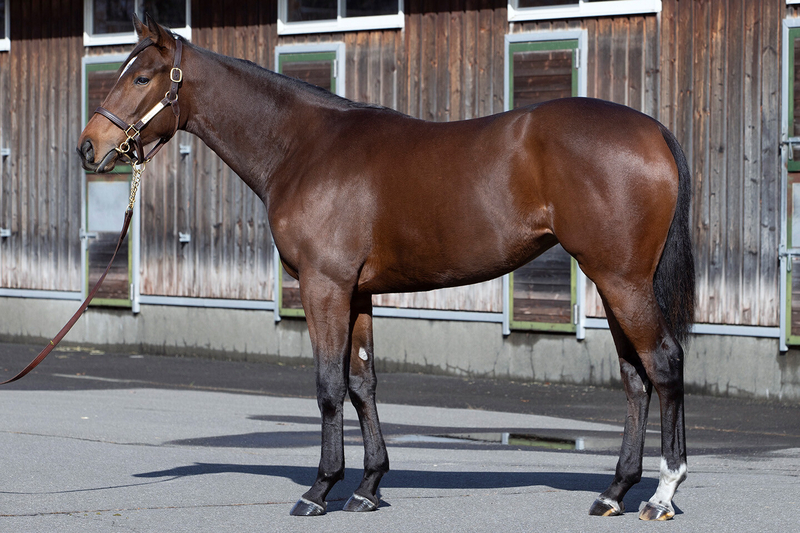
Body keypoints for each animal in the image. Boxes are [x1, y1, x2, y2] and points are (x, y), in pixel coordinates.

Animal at [77, 15, 695, 521]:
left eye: (141, 77)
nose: (89, 147)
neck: (304, 148)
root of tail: (653, 131)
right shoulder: (357, 293)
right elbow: (362, 382)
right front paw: (369, 486)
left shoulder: (324, 287)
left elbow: (328, 385)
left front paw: (319, 490)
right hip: (611, 283)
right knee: (635, 378)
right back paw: (615, 492)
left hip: (621, 280)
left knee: (663, 365)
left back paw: (663, 493)